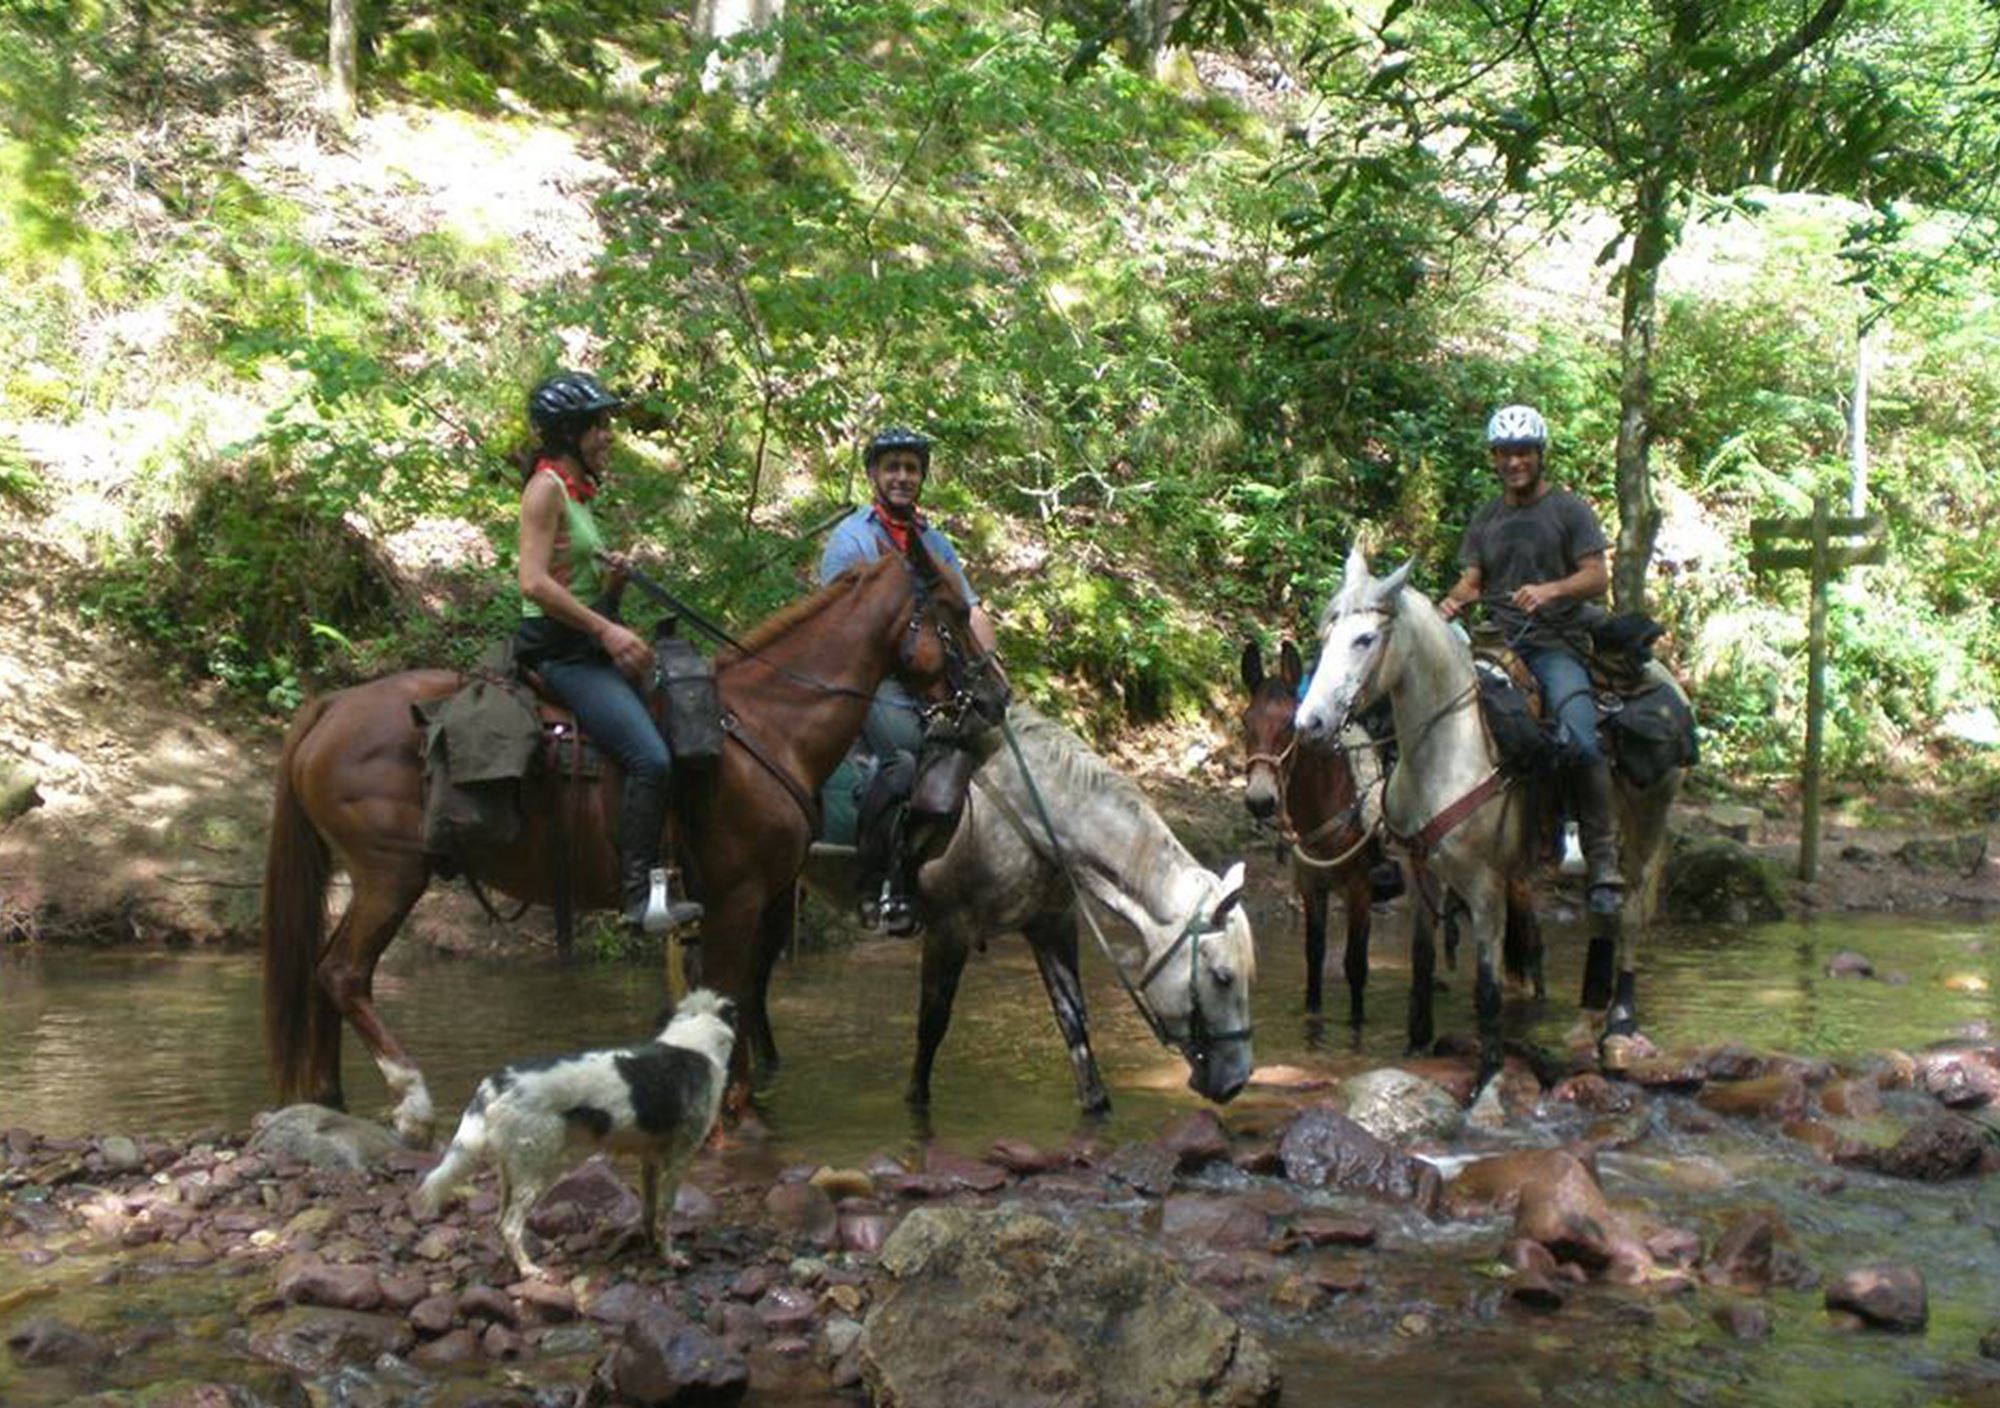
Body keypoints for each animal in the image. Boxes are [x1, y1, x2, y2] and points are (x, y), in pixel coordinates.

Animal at [264, 540, 1008, 1144]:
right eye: (948, 607)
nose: (995, 696)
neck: (770, 724)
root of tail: (331, 706)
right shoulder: (737, 898)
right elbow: (730, 999)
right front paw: (737, 1117)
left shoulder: (748, 901)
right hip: (390, 874)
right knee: (343, 972)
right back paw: (413, 1104)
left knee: (323, 973)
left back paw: (329, 1103)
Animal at [412, 992, 736, 1280]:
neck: (695, 1038)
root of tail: (497, 1082)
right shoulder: (677, 1159)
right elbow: (665, 1216)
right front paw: (670, 1257)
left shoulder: (649, 1160)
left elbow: (648, 1211)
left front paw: (650, 1248)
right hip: (537, 1172)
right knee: (510, 1226)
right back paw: (529, 1270)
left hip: (512, 1171)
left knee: (498, 1221)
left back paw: (512, 1264)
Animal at [800, 704, 1248, 1112]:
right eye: (1223, 977)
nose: (1237, 1082)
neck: (1032, 814)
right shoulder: (948, 931)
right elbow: (931, 1028)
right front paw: (915, 1106)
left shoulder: (1051, 925)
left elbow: (1074, 1022)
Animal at [1296, 540, 1688, 1088]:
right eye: (1325, 635)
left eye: (1365, 639)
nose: (1309, 723)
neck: (1448, 750)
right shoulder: (1421, 877)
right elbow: (1421, 964)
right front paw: (1416, 1046)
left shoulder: (1485, 887)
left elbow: (1488, 989)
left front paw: (1489, 1074)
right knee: (1602, 914)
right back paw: (1586, 1019)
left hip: (1649, 823)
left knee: (1628, 912)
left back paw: (1618, 1026)